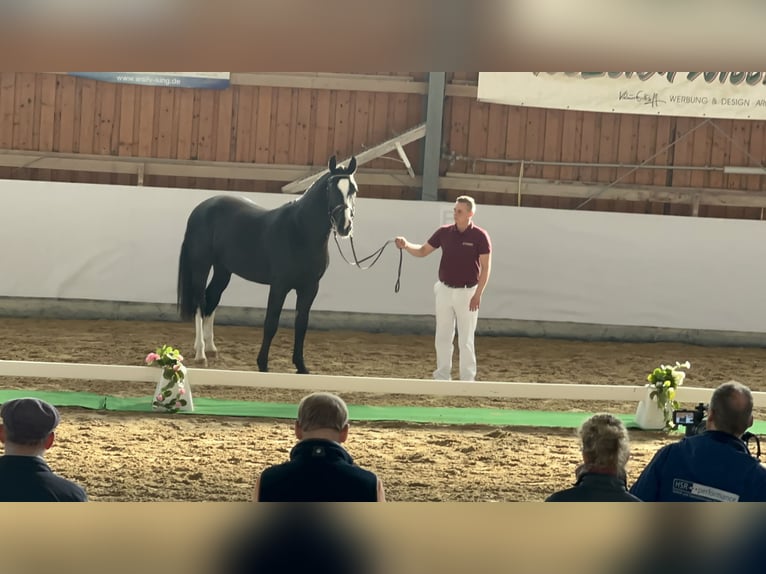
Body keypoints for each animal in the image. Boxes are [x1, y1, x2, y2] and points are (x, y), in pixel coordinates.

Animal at [178, 156, 360, 374]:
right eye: (330, 188)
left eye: (354, 189)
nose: (345, 226)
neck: (300, 231)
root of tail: (201, 209)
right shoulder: (279, 286)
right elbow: (271, 323)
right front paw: (263, 364)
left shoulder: (309, 288)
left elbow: (301, 324)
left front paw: (301, 366)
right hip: (201, 266)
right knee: (200, 302)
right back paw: (200, 354)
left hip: (223, 270)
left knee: (211, 300)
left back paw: (211, 348)